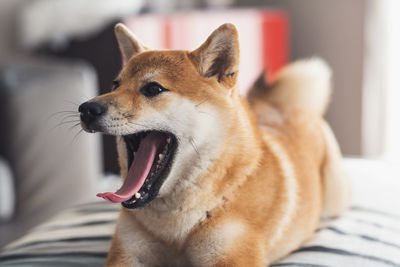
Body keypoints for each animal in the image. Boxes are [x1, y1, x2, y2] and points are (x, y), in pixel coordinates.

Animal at [78, 22, 350, 266]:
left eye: (153, 88)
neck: (173, 227)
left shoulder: (232, 255)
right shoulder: (129, 254)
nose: (87, 109)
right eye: (115, 85)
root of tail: (284, 105)